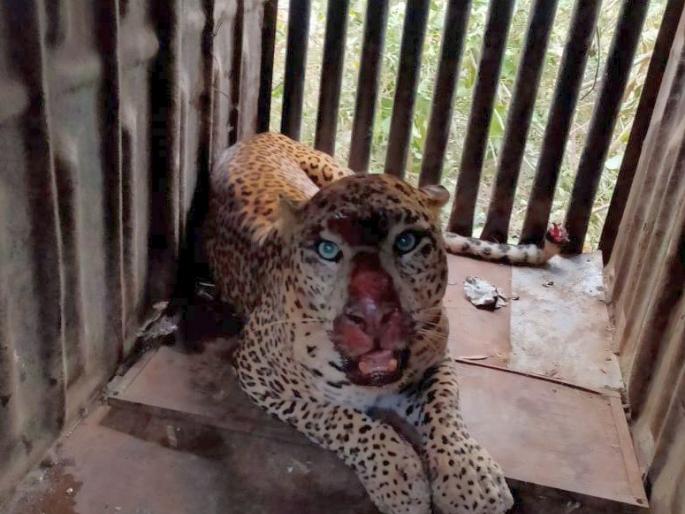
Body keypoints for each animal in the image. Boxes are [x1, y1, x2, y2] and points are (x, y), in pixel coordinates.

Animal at [205, 132, 567, 514]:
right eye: (328, 250)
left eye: (406, 242)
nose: (373, 314)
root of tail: (259, 135)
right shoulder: (257, 374)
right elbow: (338, 418)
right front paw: (399, 476)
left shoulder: (436, 355)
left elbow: (444, 406)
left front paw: (471, 477)